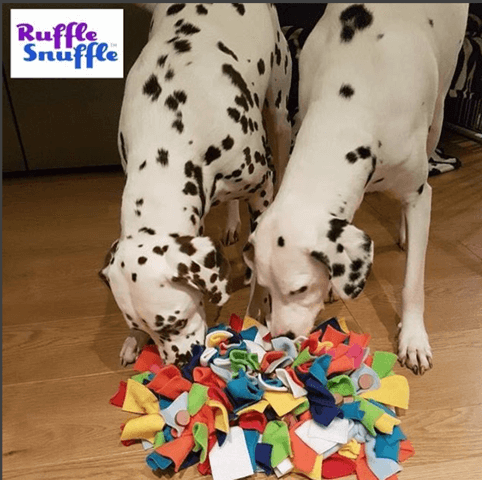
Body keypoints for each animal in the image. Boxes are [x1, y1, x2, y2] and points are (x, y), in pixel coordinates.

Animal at [100, 3, 292, 366]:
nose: (180, 361)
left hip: (279, 106)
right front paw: (133, 340)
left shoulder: (261, 188)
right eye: (142, 325)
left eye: (175, 321)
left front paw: (257, 312)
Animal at [243, 3, 468, 376]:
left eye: (300, 289)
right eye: (266, 288)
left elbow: (413, 282)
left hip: (438, 109)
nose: (282, 338)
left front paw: (413, 338)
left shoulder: (419, 194)